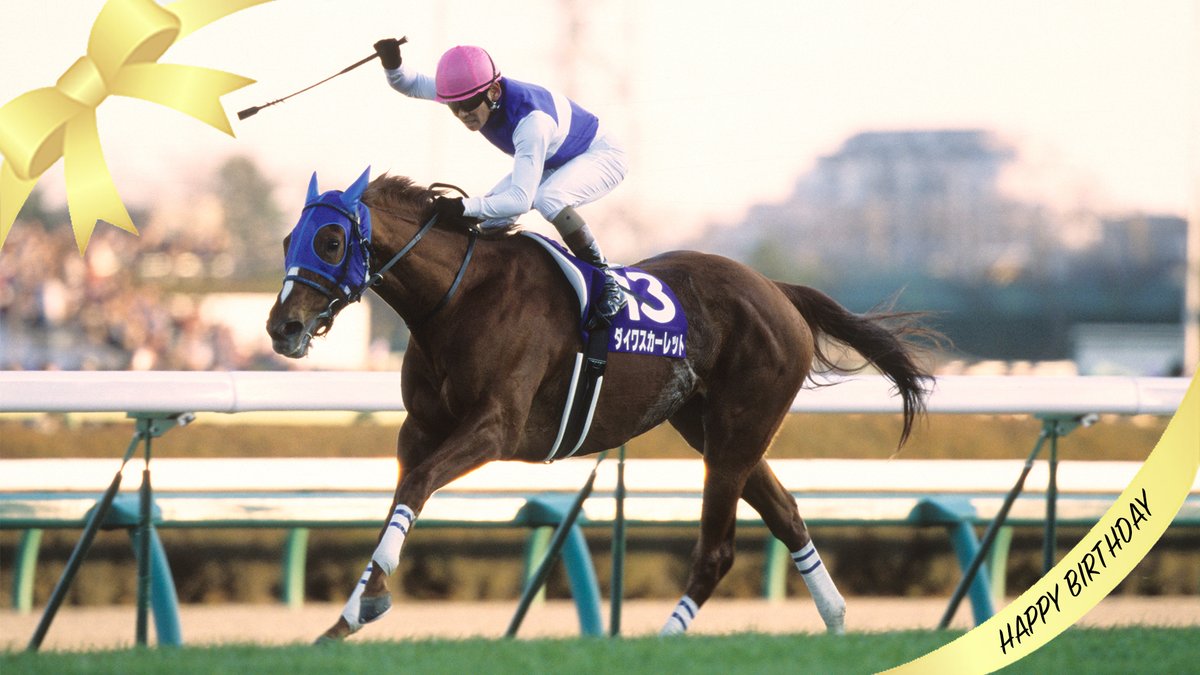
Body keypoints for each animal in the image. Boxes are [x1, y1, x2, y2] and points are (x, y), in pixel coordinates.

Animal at [265, 168, 934, 641]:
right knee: (788, 516)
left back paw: (664, 642)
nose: (282, 326)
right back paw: (837, 621)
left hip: (738, 431)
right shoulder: (421, 429)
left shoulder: (496, 428)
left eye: (331, 240)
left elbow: (419, 484)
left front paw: (366, 603)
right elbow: (404, 493)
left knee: (717, 551)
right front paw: (350, 613)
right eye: (288, 238)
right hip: (715, 431)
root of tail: (778, 290)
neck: (460, 299)